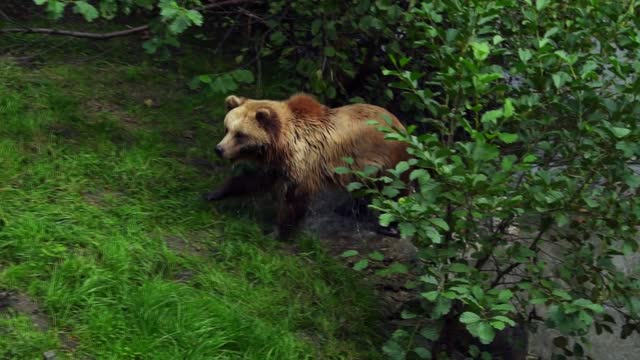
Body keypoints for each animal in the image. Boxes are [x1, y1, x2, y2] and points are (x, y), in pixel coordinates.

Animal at [208, 93, 412, 239]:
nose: (219, 149)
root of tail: (401, 126)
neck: (281, 144)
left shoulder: (303, 161)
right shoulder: (278, 165)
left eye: (240, 135)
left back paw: (389, 228)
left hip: (387, 162)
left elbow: (294, 196)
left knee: (394, 191)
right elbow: (254, 179)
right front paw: (214, 193)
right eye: (227, 128)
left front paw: (277, 231)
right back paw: (349, 209)